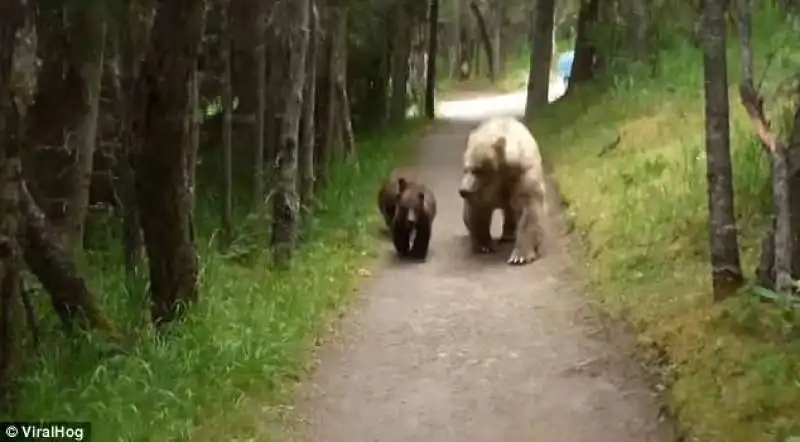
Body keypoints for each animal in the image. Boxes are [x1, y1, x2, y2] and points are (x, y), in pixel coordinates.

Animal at [460, 115, 548, 264]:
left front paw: (519, 256)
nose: (463, 190)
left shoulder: (523, 176)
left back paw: (508, 235)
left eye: (478, 170)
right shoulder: (482, 190)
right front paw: (484, 246)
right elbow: (477, 211)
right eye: (466, 168)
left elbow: (529, 209)